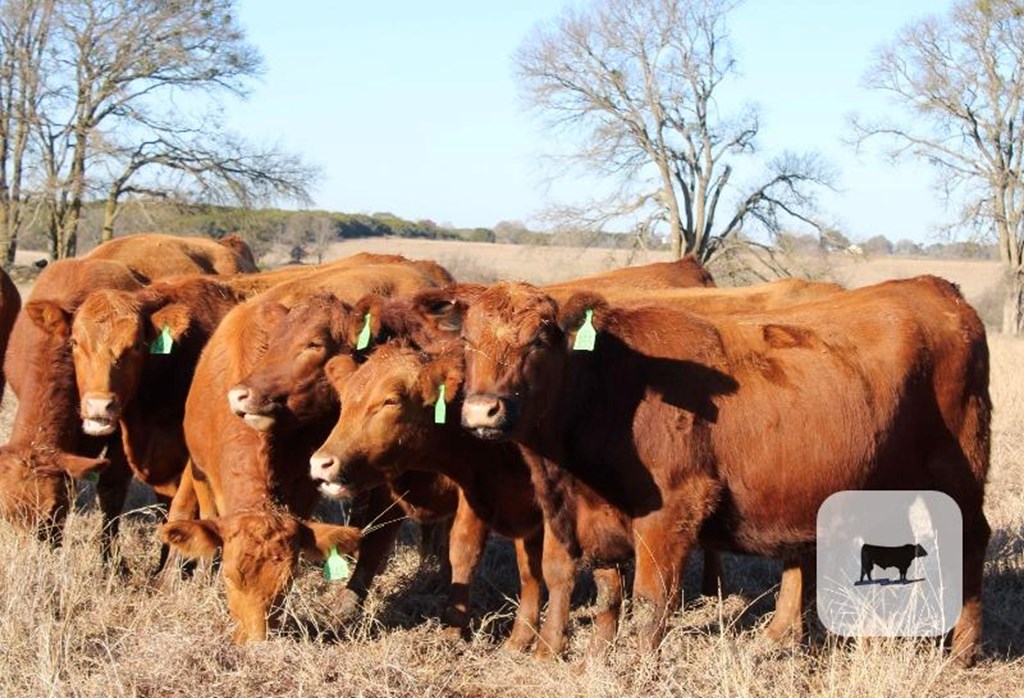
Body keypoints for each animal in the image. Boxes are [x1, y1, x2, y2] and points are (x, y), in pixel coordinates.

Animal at [309, 341, 544, 646]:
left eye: (391, 401)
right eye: (346, 399)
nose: (320, 463)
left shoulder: (476, 495)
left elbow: (463, 551)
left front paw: (454, 626)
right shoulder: (389, 490)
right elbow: (374, 543)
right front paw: (345, 608)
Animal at [454, 274, 983, 659]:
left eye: (539, 341)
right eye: (467, 341)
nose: (482, 410)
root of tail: (932, 287)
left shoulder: (670, 510)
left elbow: (651, 600)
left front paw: (636, 668)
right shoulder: (591, 516)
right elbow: (606, 593)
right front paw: (595, 662)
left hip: (957, 474)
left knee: (969, 540)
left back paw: (962, 649)